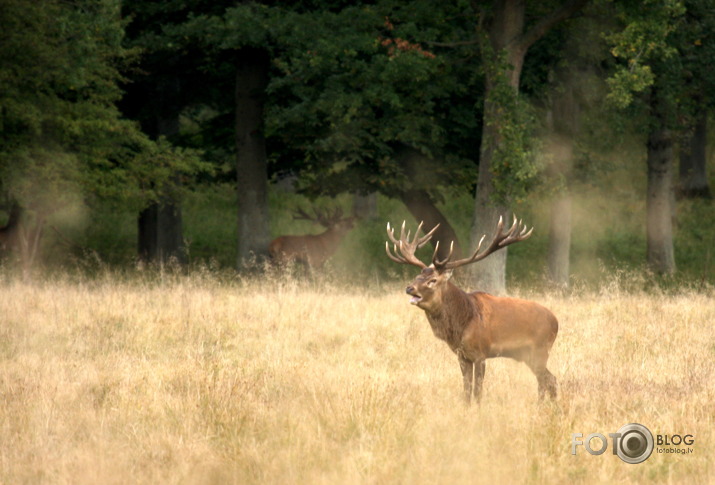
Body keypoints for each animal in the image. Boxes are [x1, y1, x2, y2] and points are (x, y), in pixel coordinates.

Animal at [386, 217, 560, 402]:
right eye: (417, 276)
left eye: (432, 280)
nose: (409, 288)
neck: (462, 325)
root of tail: (556, 321)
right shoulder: (462, 356)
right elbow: (466, 390)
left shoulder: (480, 353)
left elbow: (477, 391)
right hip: (527, 355)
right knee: (550, 380)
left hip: (541, 349)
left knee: (546, 381)